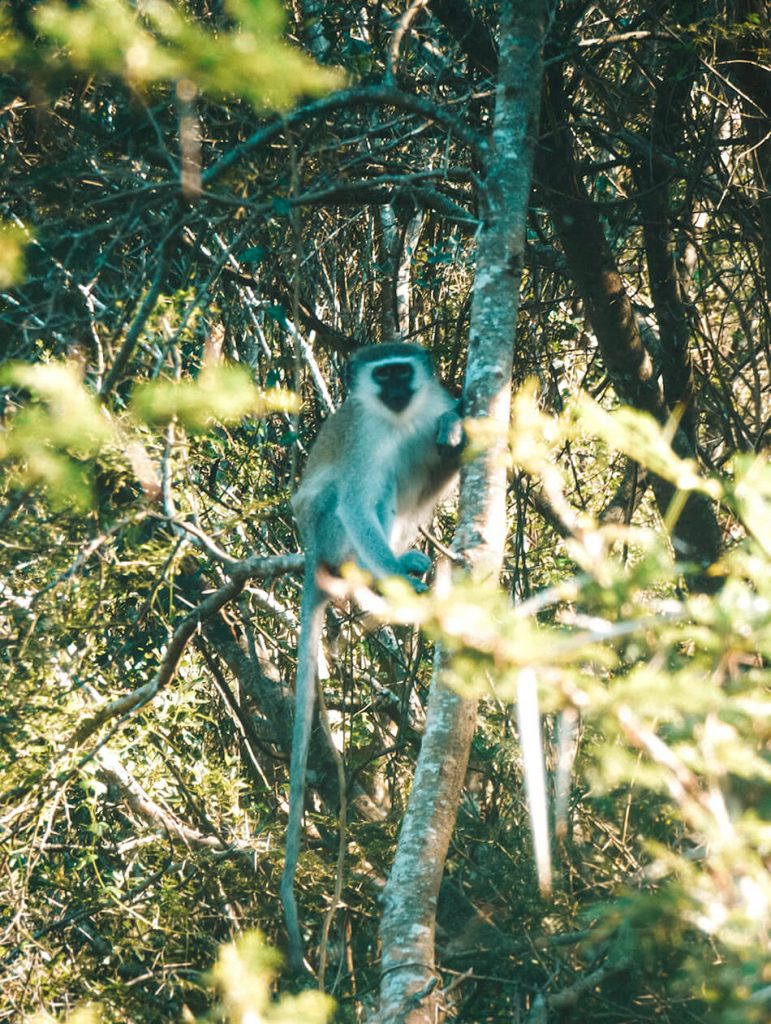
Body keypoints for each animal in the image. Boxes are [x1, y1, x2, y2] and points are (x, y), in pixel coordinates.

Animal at [282, 342, 462, 966]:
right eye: (382, 376)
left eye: (403, 371)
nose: (397, 389)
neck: (398, 417)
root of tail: (312, 549)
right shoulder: (362, 437)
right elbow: (360, 502)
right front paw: (397, 579)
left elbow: (434, 472)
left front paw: (456, 422)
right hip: (328, 531)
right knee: (354, 500)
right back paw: (383, 577)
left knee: (407, 488)